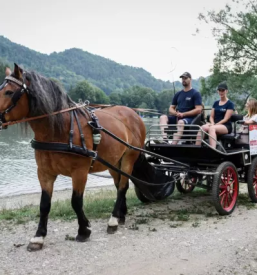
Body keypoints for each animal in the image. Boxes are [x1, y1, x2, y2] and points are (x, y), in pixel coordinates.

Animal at [0, 64, 145, 252]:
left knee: (122, 187)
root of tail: (133, 113)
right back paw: (121, 214)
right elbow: (44, 205)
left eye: (9, 92)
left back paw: (113, 220)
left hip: (128, 158)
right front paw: (39, 236)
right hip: (114, 162)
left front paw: (84, 230)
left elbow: (76, 202)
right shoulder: (45, 173)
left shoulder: (79, 172)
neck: (59, 130)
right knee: (121, 184)